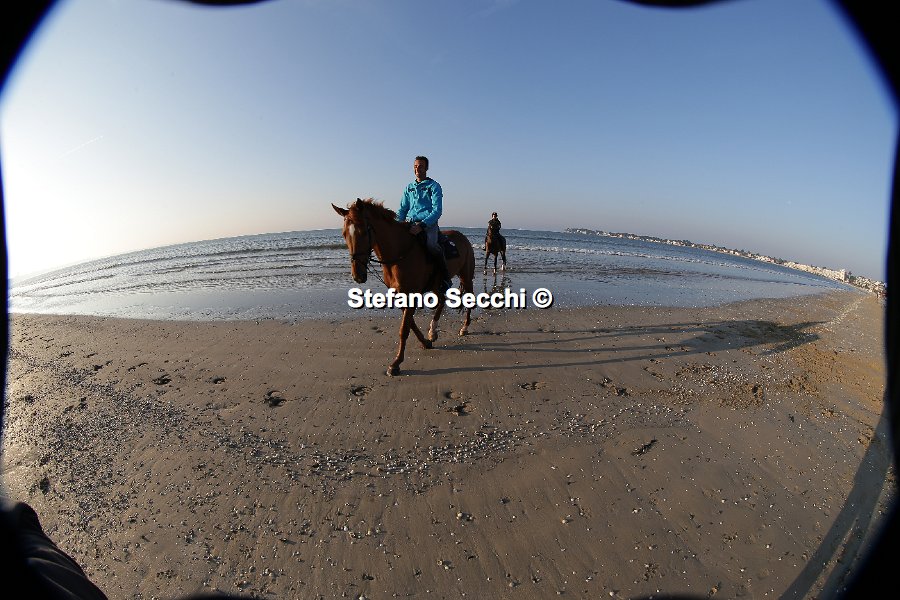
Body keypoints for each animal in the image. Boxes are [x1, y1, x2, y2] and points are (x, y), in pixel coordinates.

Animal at [332, 198, 476, 376]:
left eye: (364, 232)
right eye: (344, 234)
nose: (358, 275)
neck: (399, 254)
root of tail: (463, 238)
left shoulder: (411, 294)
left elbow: (404, 329)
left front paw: (396, 364)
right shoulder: (399, 295)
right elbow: (410, 324)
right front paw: (426, 342)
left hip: (466, 276)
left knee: (469, 299)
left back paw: (464, 327)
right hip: (437, 284)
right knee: (442, 301)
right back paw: (433, 331)